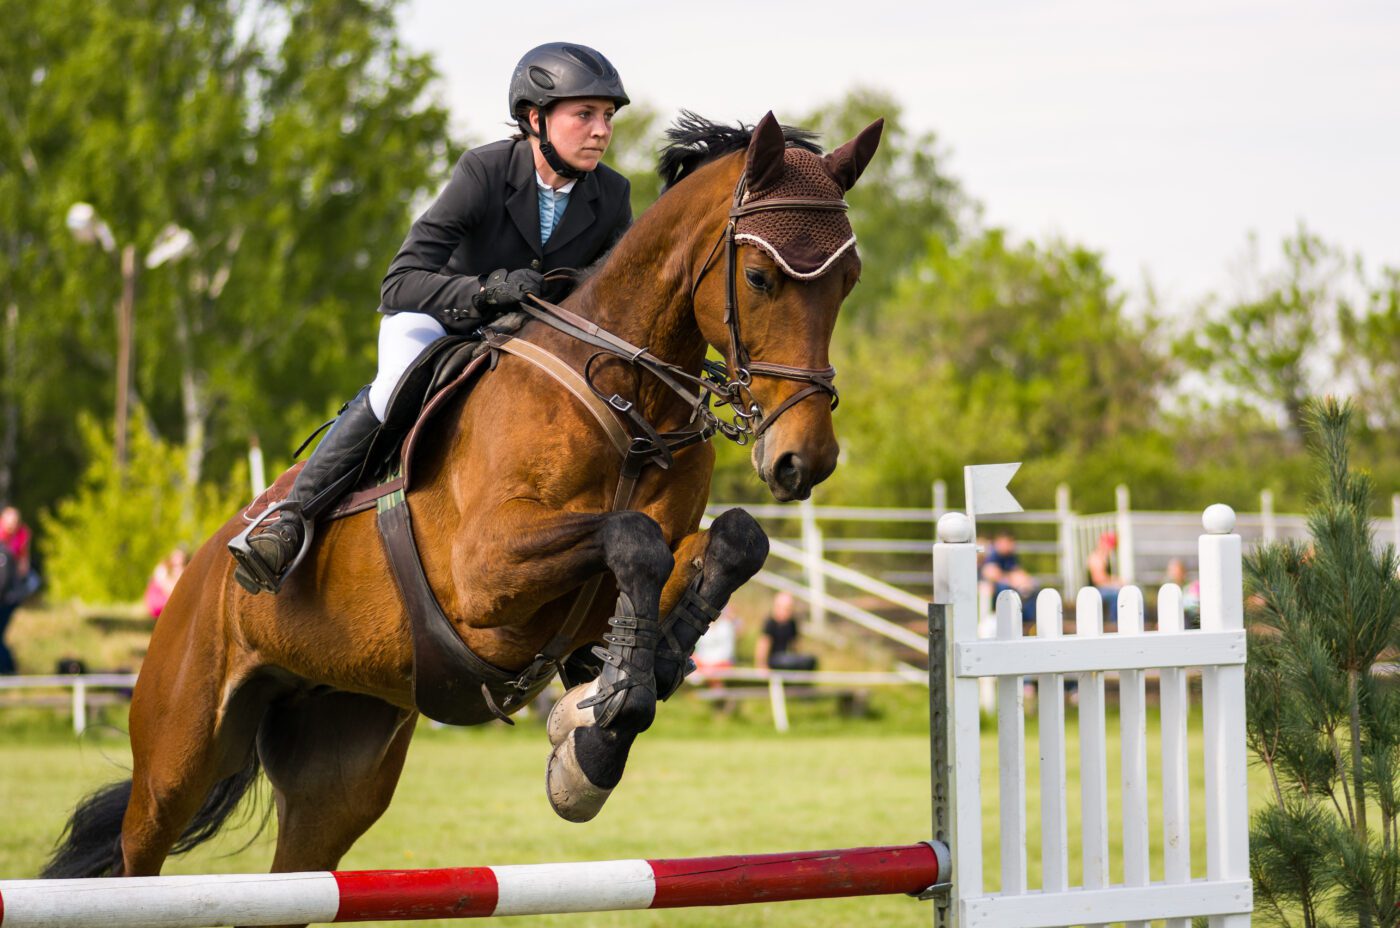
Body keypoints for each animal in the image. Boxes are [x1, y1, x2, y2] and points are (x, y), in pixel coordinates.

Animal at [46, 110, 884, 901]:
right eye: (761, 277)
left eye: (848, 282)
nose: (803, 460)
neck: (627, 396)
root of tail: (198, 571)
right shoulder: (485, 576)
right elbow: (633, 537)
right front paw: (600, 728)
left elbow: (730, 542)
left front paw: (617, 700)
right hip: (179, 755)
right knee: (138, 854)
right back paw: (272, 540)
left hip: (338, 766)